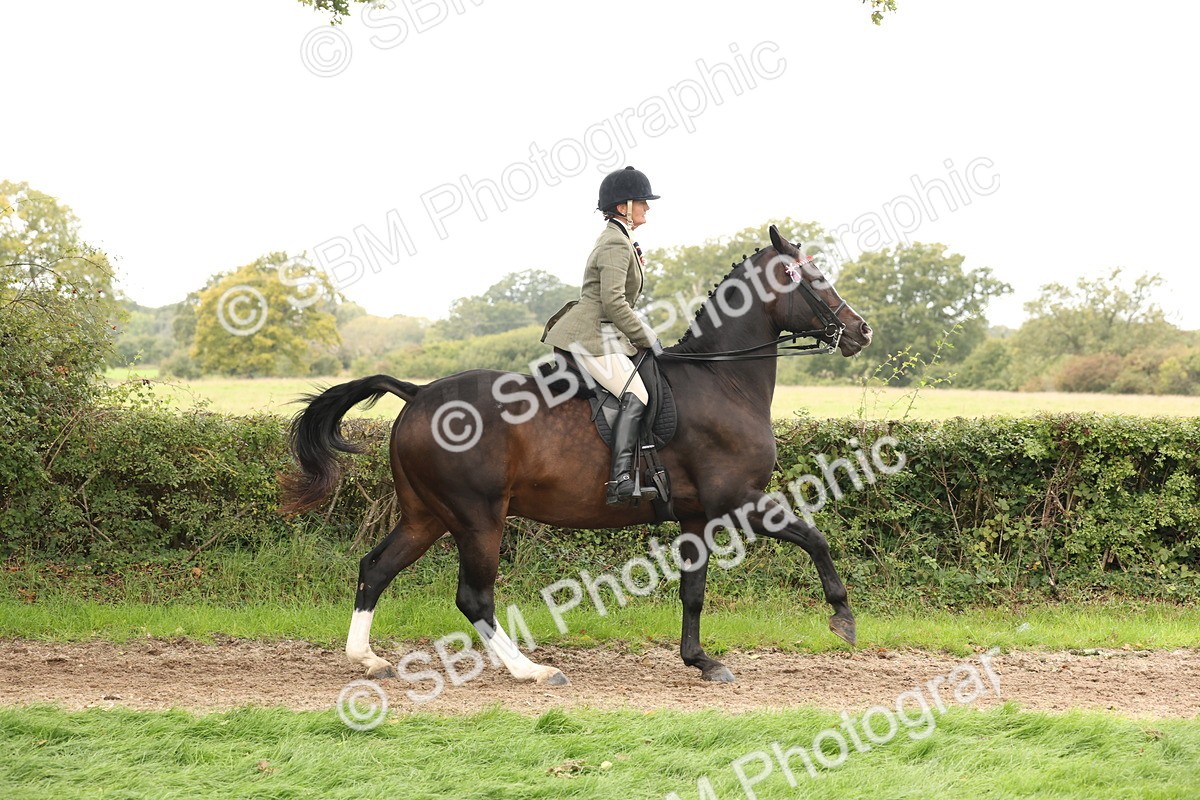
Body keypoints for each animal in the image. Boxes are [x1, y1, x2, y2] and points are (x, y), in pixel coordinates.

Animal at [281, 224, 872, 686]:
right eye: (814, 278)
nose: (861, 331)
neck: (722, 378)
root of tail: (419, 393)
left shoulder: (698, 514)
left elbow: (693, 591)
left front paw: (701, 661)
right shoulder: (739, 499)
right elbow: (814, 538)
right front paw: (843, 618)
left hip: (427, 514)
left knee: (376, 567)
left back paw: (368, 660)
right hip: (477, 516)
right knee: (473, 596)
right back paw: (531, 670)